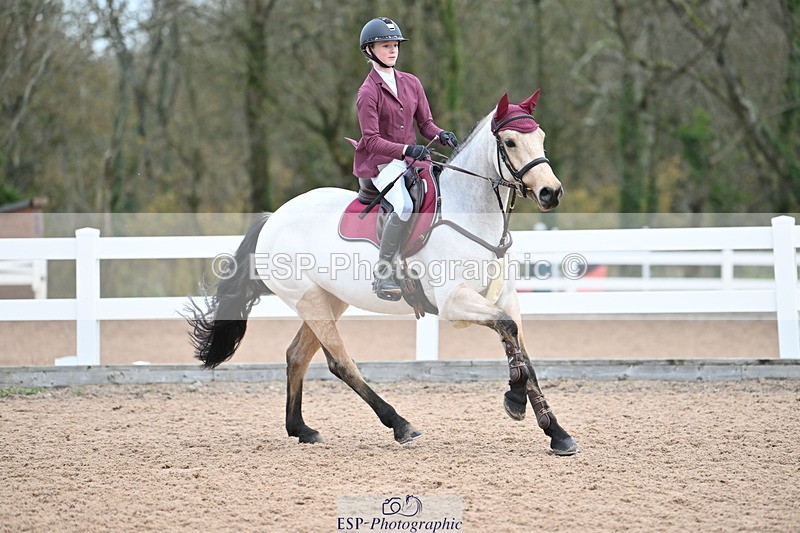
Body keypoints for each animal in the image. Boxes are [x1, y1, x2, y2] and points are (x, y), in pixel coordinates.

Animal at [188, 89, 579, 456]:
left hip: (328, 300)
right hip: (310, 300)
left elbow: (522, 351)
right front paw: (515, 400)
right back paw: (400, 424)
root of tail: (274, 218)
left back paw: (301, 429)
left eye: (541, 136)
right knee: (340, 362)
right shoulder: (454, 303)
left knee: (297, 355)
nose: (551, 192)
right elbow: (508, 331)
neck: (472, 215)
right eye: (510, 142)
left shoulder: (506, 298)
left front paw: (556, 431)